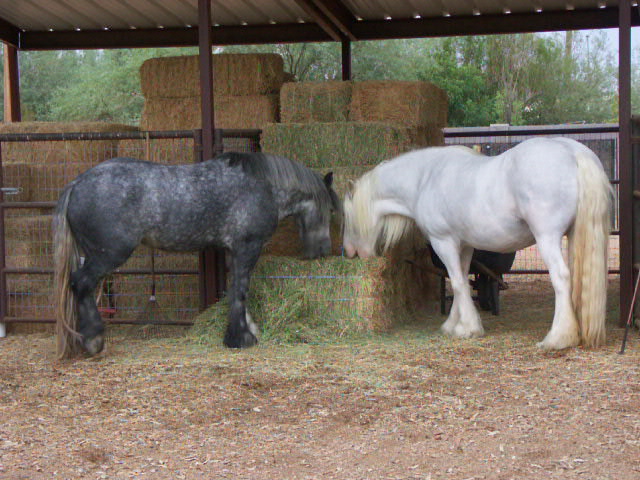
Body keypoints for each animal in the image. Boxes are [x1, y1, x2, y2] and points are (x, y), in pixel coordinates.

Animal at [54, 152, 340, 358]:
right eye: (330, 210)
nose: (323, 250)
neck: (263, 186)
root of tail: (76, 184)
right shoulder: (247, 246)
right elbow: (241, 291)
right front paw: (241, 338)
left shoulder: (233, 250)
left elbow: (235, 289)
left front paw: (247, 330)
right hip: (109, 254)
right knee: (81, 283)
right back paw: (93, 339)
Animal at [343, 137, 612, 350]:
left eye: (346, 216)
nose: (349, 252)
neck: (424, 179)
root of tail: (573, 152)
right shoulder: (464, 246)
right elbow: (461, 279)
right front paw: (453, 324)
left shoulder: (444, 242)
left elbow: (458, 283)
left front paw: (468, 328)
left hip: (547, 237)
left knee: (561, 277)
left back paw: (556, 338)